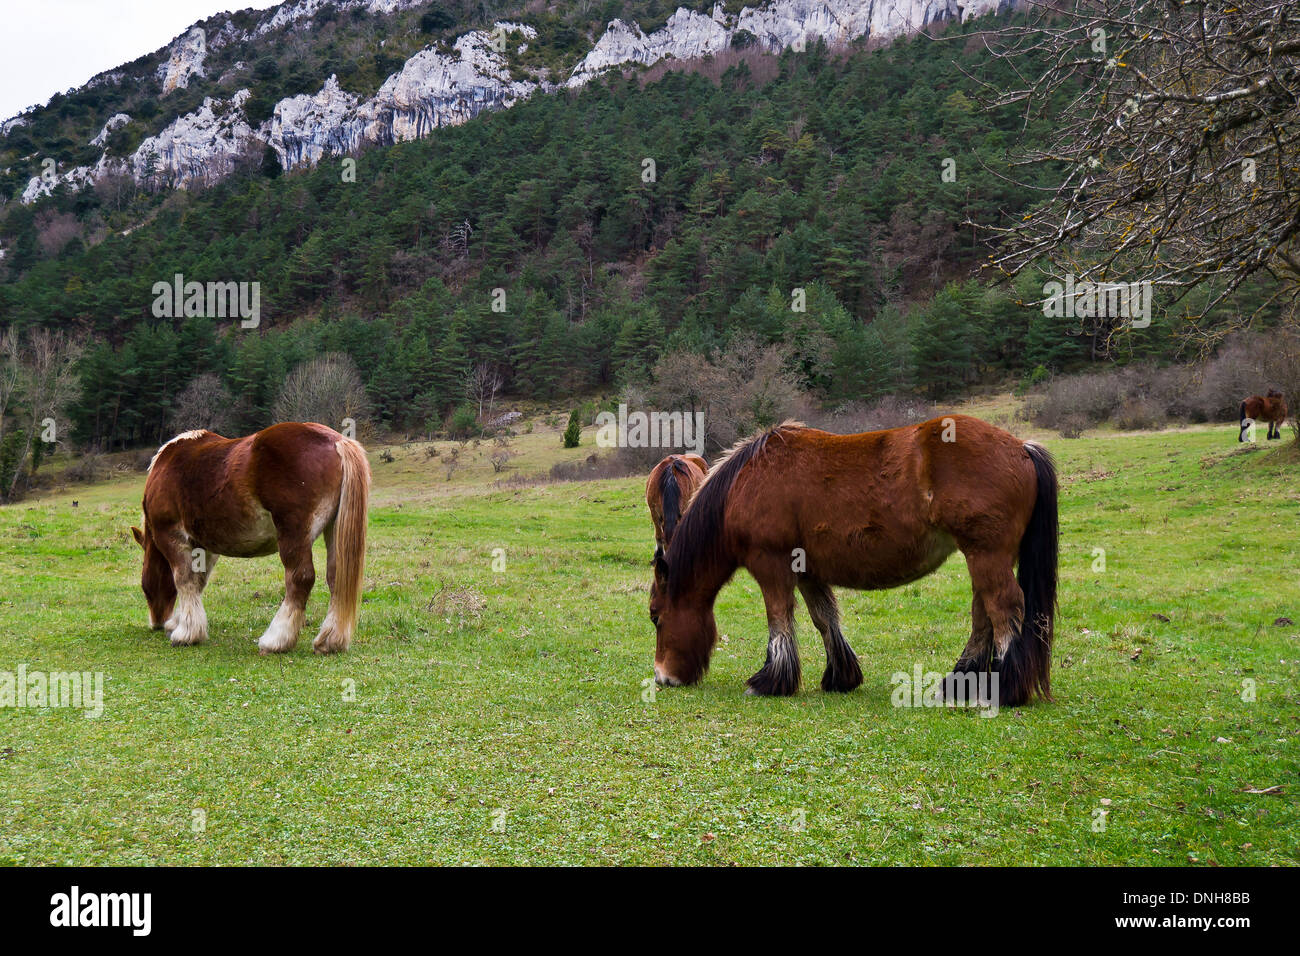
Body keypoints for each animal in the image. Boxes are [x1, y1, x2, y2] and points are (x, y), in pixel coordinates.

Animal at [130, 421, 371, 655]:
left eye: (145, 586)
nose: (157, 622)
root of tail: (337, 441)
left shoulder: (171, 536)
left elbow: (184, 579)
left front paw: (185, 633)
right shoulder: (204, 546)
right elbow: (198, 581)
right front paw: (181, 623)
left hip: (294, 534)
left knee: (300, 579)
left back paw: (276, 640)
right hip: (333, 531)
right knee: (335, 577)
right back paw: (330, 641)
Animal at [644, 416, 1060, 707]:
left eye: (656, 617)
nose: (663, 677)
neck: (744, 484)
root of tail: (1022, 448)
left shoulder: (771, 564)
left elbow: (779, 620)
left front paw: (769, 681)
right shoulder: (807, 571)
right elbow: (823, 618)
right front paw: (840, 676)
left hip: (987, 556)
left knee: (1004, 609)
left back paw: (1004, 688)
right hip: (981, 557)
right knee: (983, 616)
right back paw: (957, 684)